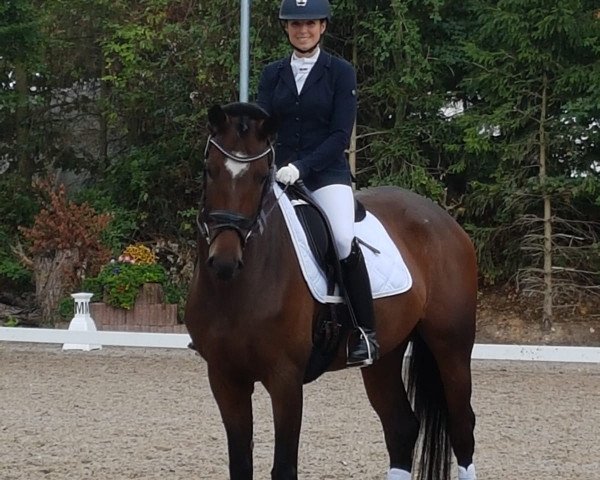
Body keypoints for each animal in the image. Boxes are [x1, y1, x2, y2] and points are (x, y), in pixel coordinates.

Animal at [184, 102, 478, 480]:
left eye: (263, 176)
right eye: (209, 170)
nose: (223, 262)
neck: (235, 291)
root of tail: (442, 219)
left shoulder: (285, 379)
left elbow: (284, 467)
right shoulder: (224, 378)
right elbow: (240, 465)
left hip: (451, 346)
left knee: (462, 427)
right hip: (384, 355)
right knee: (401, 428)